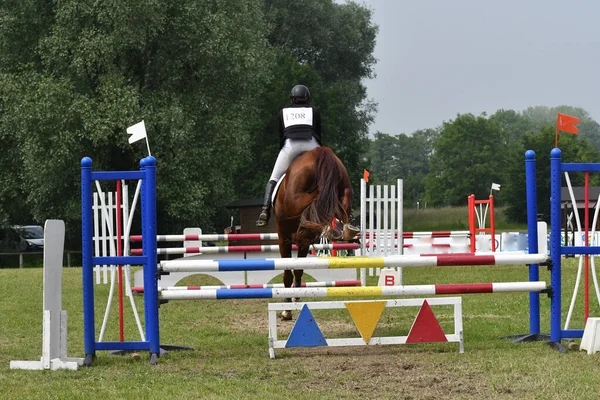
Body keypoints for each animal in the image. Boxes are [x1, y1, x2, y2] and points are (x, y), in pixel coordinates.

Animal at [274, 145, 358, 320]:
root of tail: (320, 152)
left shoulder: (283, 237)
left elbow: (287, 272)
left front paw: (287, 308)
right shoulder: (304, 241)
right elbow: (298, 269)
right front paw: (296, 298)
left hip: (298, 200)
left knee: (316, 197)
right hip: (342, 180)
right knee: (343, 195)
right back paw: (343, 228)